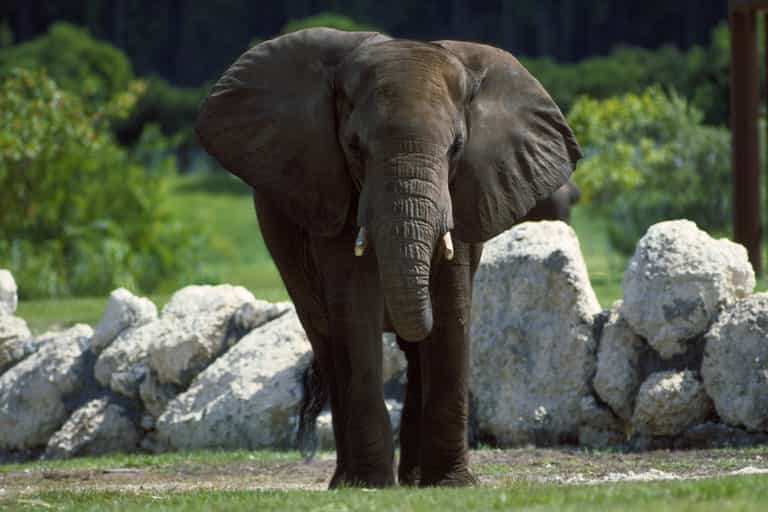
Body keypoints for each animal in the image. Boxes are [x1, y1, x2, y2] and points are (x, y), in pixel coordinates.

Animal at [196, 28, 581, 488]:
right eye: (354, 146)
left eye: (457, 148)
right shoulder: (330, 188)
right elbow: (355, 304)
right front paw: (369, 484)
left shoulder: (467, 189)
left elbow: (451, 304)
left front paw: (452, 484)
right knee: (328, 342)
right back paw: (348, 479)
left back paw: (414, 478)